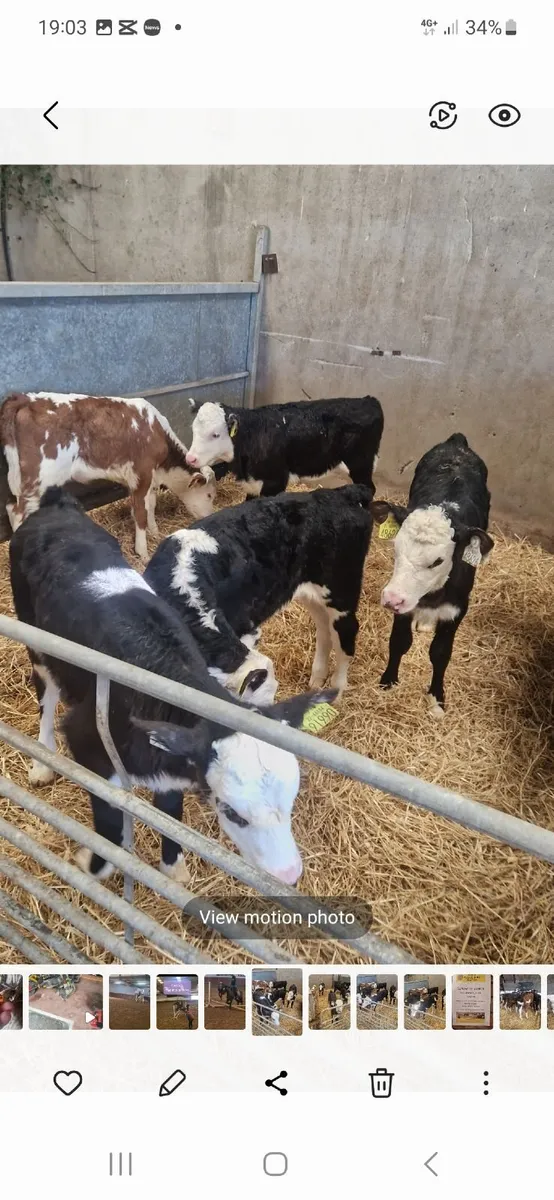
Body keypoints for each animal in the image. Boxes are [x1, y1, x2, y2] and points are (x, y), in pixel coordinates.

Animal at [0, 392, 216, 560]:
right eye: (209, 495)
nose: (209, 517)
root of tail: (24, 398)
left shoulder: (149, 478)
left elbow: (150, 505)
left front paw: (154, 531)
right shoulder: (142, 473)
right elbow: (140, 513)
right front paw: (143, 552)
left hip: (19, 479)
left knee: (11, 507)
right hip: (39, 480)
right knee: (19, 513)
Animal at [9, 487, 334, 885]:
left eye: (291, 800)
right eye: (232, 812)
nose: (288, 874)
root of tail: (56, 505)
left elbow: (169, 813)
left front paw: (173, 869)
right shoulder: (86, 739)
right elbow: (109, 820)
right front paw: (91, 862)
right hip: (36, 641)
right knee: (46, 694)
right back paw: (42, 761)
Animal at [145, 484, 374, 702]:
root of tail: (342, 493)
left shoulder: (245, 627)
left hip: (342, 590)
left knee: (346, 634)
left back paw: (337, 691)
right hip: (312, 593)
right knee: (324, 629)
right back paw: (317, 680)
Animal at [185, 394, 384, 498]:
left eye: (215, 434)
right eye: (193, 429)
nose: (190, 458)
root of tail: (368, 400)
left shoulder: (276, 480)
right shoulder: (253, 483)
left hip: (361, 463)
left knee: (370, 488)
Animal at [371, 434, 494, 716]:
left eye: (438, 561)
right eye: (396, 548)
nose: (391, 599)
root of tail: (457, 442)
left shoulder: (457, 609)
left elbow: (440, 653)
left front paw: (437, 698)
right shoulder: (405, 605)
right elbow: (399, 642)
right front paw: (388, 681)